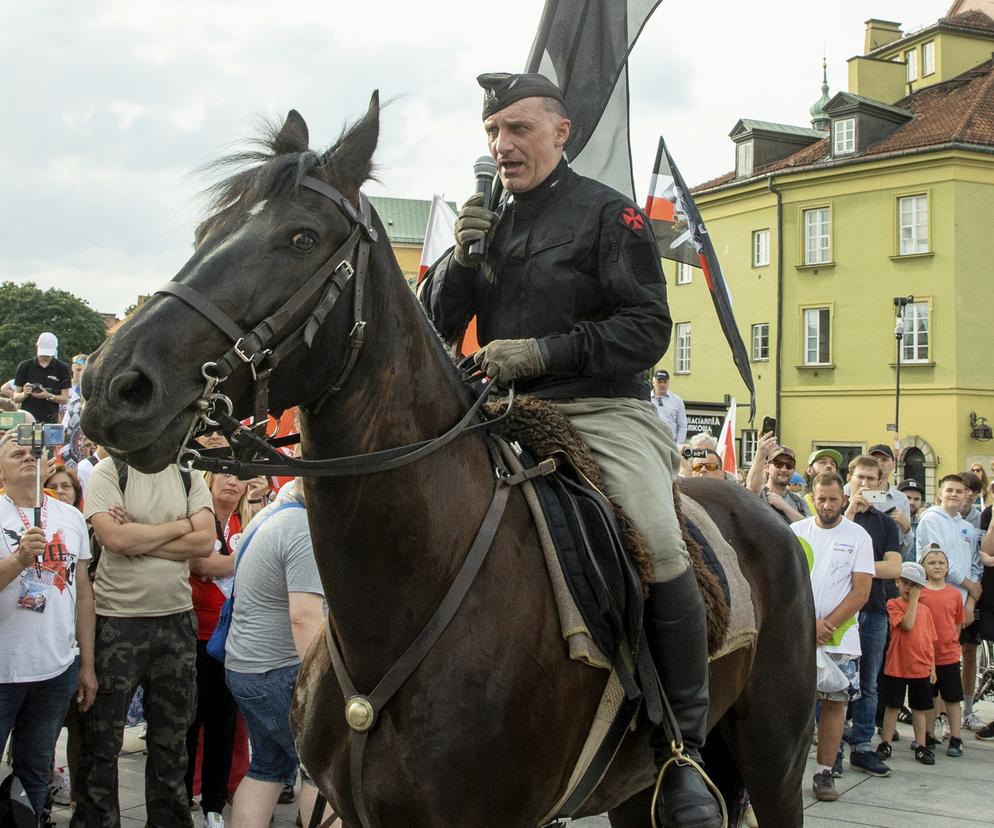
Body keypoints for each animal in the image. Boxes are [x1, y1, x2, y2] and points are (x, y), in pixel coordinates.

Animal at [79, 94, 812, 824]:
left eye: (301, 238)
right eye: (207, 229)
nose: (113, 385)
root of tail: (765, 512)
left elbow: (645, 315)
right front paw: (469, 238)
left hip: (774, 762)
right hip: (633, 791)